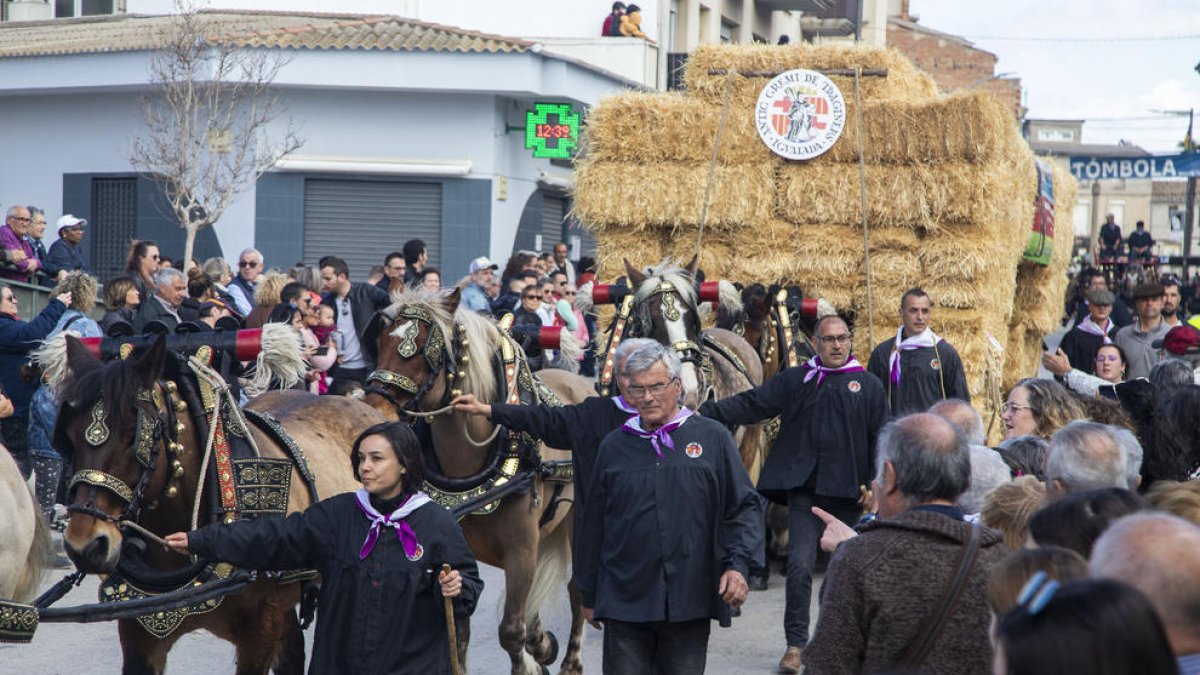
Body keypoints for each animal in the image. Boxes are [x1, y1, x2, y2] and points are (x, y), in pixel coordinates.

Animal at [360, 288, 595, 672]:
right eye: (380, 342)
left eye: (423, 350)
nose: (376, 410)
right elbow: (459, 630)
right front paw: (535, 649)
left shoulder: (521, 550)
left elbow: (510, 631)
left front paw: (529, 664)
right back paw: (542, 642)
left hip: (577, 520)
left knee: (577, 589)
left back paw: (571, 662)